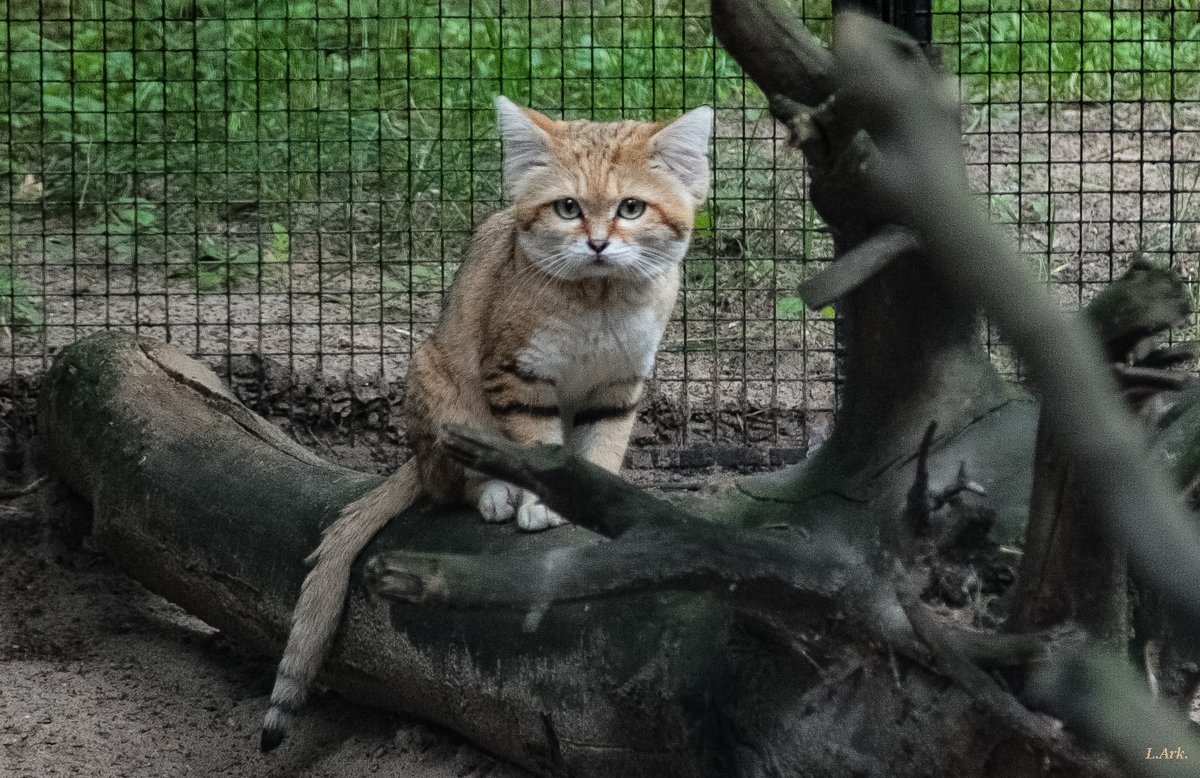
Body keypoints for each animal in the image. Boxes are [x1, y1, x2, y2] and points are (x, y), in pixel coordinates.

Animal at [262, 95, 710, 749]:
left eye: (632, 207)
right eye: (568, 207)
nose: (599, 244)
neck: (600, 299)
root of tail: (416, 455)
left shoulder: (620, 386)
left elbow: (601, 447)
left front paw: (600, 501)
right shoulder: (516, 376)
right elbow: (541, 447)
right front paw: (544, 502)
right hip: (442, 389)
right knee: (452, 483)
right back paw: (495, 492)